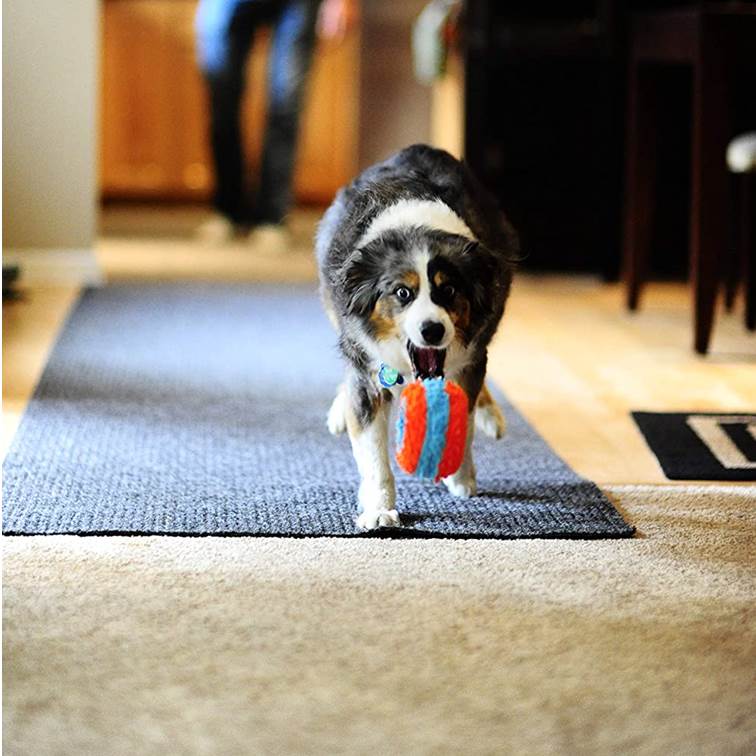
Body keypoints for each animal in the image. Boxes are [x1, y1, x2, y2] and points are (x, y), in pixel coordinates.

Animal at [314, 145, 520, 528]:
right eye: (402, 293)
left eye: (449, 290)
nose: (432, 330)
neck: (416, 229)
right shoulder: (367, 369)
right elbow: (373, 451)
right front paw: (379, 509)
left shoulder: (469, 356)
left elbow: (465, 416)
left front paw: (461, 476)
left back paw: (491, 416)